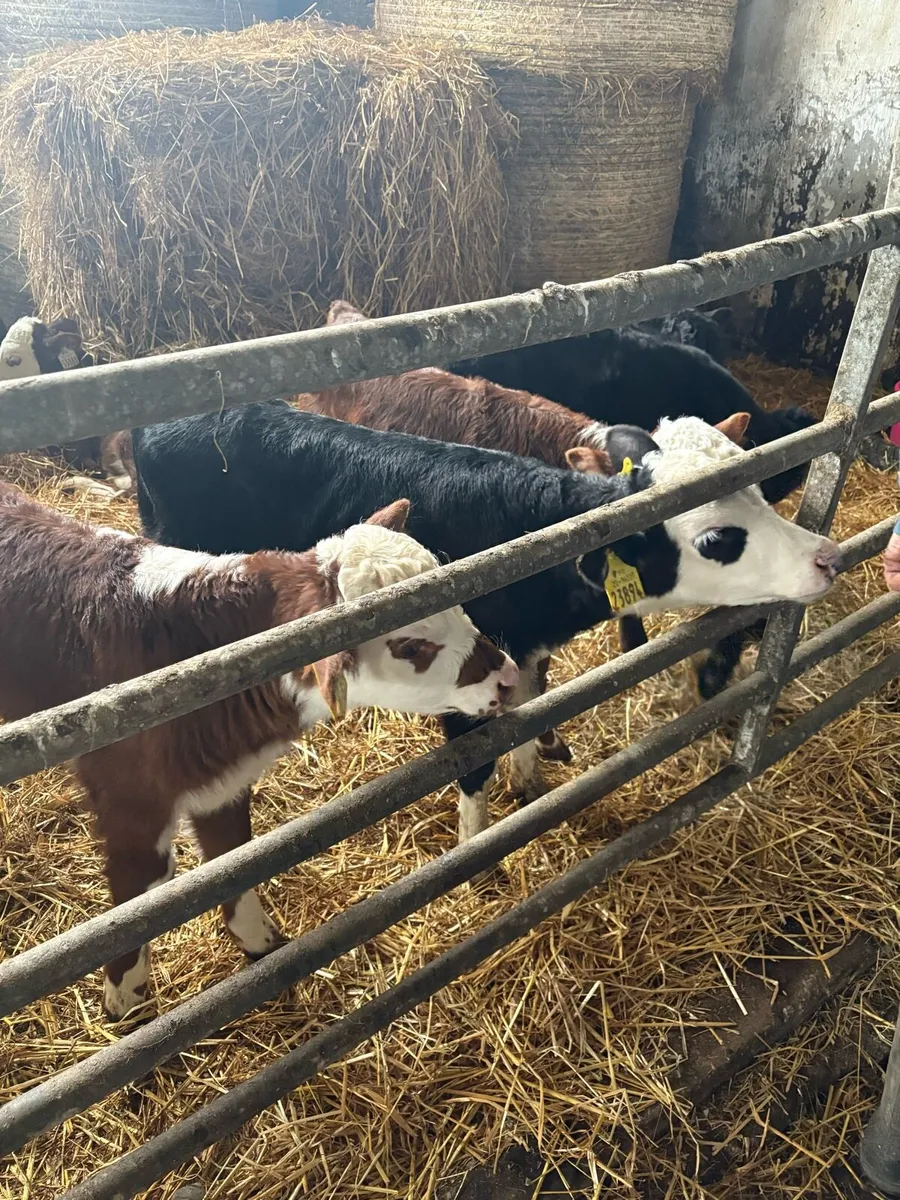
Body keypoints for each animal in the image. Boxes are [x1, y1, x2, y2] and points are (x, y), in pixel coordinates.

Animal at [0, 484, 517, 1018]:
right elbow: (132, 901)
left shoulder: (220, 783)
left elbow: (232, 859)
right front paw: (126, 1004)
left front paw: (260, 943)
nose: (507, 677)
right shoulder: (128, 797)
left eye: (455, 600)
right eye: (411, 647)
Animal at [133, 403, 841, 852]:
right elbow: (473, 768)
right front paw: (476, 850)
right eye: (718, 539)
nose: (828, 556)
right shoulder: (462, 676)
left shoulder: (523, 656)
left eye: (760, 489)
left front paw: (530, 784)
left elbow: (528, 720)